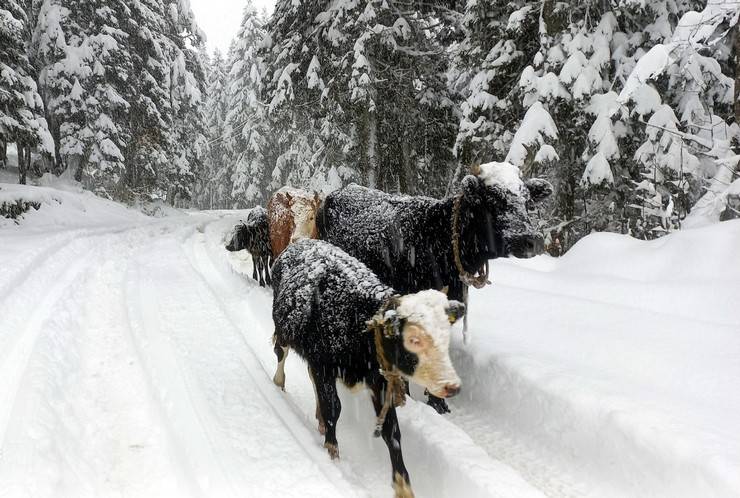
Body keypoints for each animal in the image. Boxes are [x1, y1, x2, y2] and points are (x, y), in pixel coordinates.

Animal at [272, 238, 462, 498]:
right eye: (414, 339)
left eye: (446, 335)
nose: (452, 386)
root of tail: (301, 242)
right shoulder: (324, 364)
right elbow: (334, 408)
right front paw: (332, 453)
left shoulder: (379, 380)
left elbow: (391, 432)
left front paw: (403, 486)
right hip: (283, 328)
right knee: (280, 353)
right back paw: (279, 383)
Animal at [316, 160, 552, 412]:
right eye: (493, 200)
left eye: (528, 202)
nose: (532, 239)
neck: (438, 241)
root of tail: (343, 190)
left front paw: (439, 404)